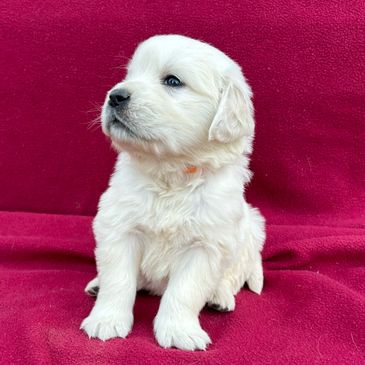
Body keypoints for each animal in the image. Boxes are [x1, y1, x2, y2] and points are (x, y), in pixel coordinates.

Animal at [80, 34, 264, 350]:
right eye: (130, 75)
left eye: (173, 81)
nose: (115, 95)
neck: (170, 173)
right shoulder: (119, 228)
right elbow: (118, 280)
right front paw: (106, 320)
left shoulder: (206, 245)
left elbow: (185, 291)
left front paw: (179, 331)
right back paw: (96, 284)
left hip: (251, 230)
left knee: (231, 275)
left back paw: (219, 297)